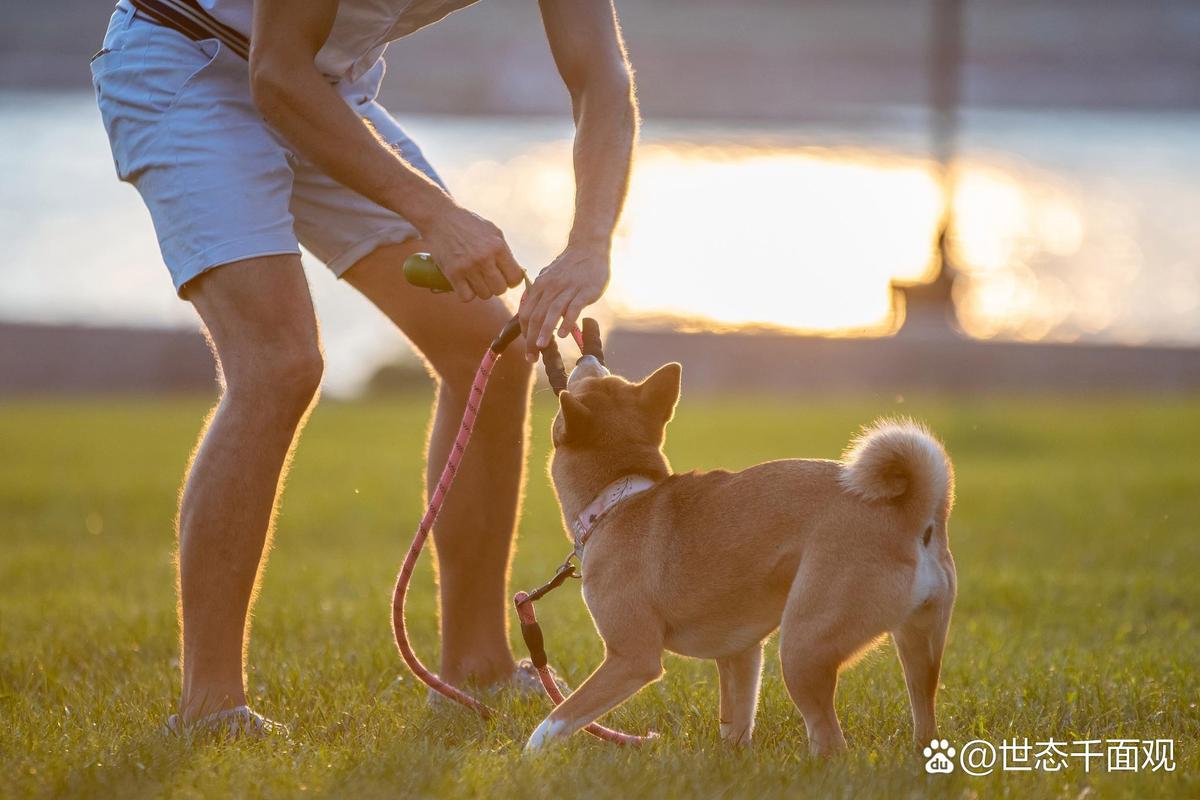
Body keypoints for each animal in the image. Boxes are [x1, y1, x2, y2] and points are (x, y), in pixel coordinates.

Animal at [525, 357, 955, 758]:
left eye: (589, 381)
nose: (586, 359)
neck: (620, 496)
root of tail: (910, 513)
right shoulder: (740, 654)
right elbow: (737, 720)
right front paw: (732, 759)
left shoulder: (631, 658)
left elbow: (558, 717)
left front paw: (529, 758)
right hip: (918, 649)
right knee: (923, 717)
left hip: (803, 650)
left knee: (831, 742)